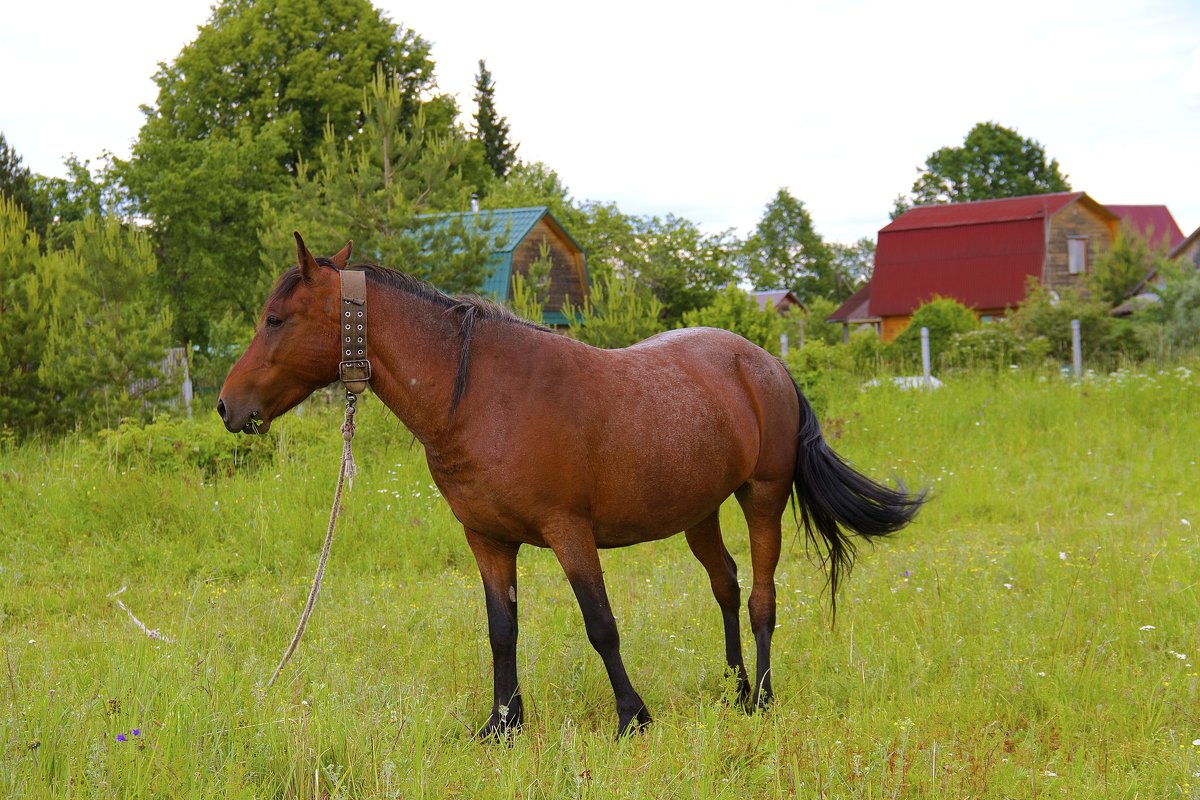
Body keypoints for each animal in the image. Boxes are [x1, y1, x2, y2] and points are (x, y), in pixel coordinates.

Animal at [218, 235, 926, 743]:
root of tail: (769, 363)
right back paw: (735, 689)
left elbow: (601, 625)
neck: (479, 394)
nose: (228, 407)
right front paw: (502, 725)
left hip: (763, 497)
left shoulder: (569, 533)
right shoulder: (487, 540)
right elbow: (502, 630)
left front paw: (632, 717)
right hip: (697, 511)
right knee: (724, 584)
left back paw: (764, 698)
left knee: (760, 598)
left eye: (275, 319)